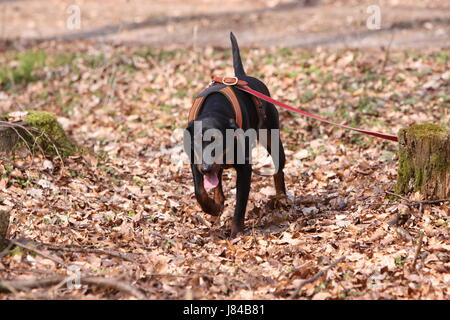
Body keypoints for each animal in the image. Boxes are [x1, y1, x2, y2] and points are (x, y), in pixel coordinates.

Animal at [185, 32, 286, 238]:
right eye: (197, 143)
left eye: (217, 141)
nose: (206, 168)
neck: (215, 111)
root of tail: (242, 76)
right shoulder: (195, 160)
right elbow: (199, 190)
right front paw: (212, 207)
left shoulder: (245, 168)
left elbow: (240, 203)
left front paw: (236, 234)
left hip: (271, 135)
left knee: (279, 168)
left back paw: (281, 198)